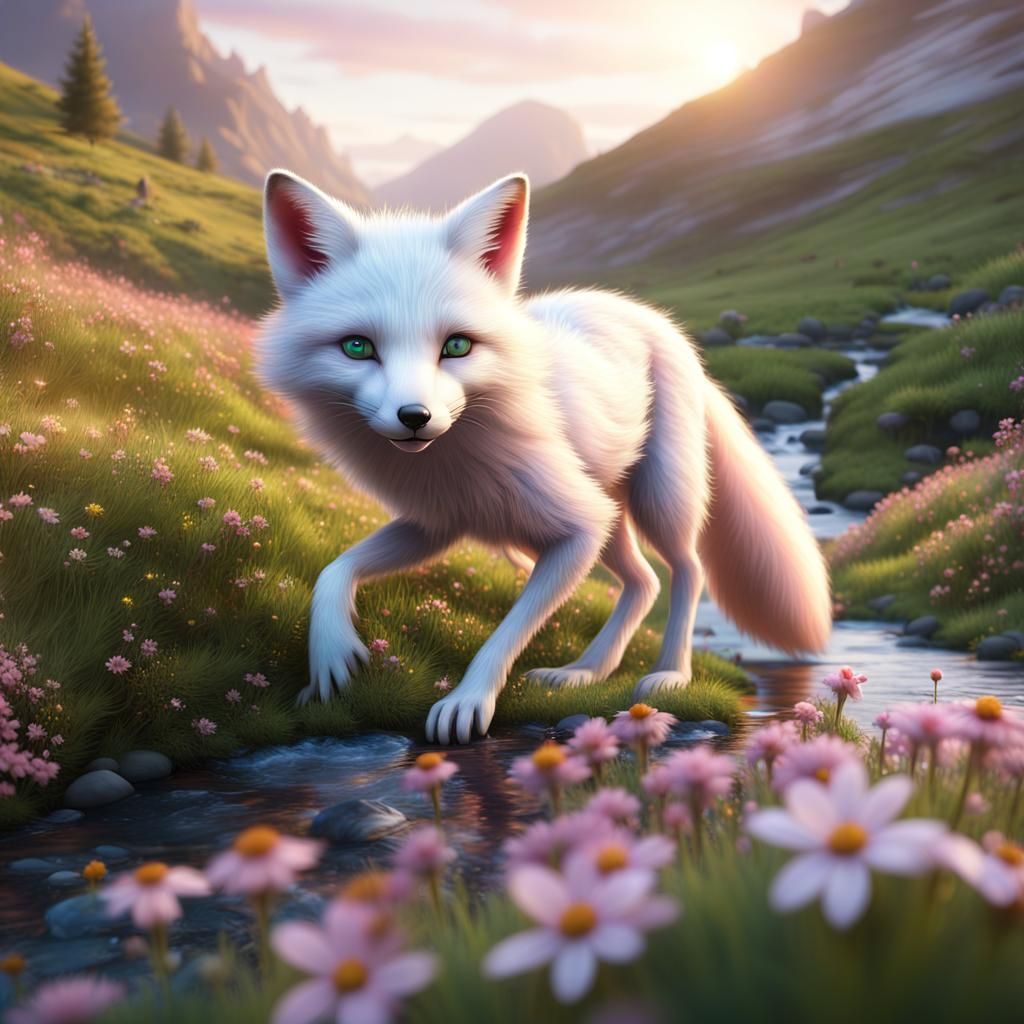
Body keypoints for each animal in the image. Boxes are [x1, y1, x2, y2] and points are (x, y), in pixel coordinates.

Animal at [256, 169, 832, 745]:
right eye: (357, 347)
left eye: (457, 346)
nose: (414, 417)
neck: (451, 462)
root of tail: (656, 321)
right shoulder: (437, 523)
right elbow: (335, 570)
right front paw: (330, 658)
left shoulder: (577, 527)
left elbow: (508, 631)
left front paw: (468, 701)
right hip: (605, 517)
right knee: (644, 581)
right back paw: (583, 672)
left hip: (654, 499)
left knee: (688, 571)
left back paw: (669, 674)